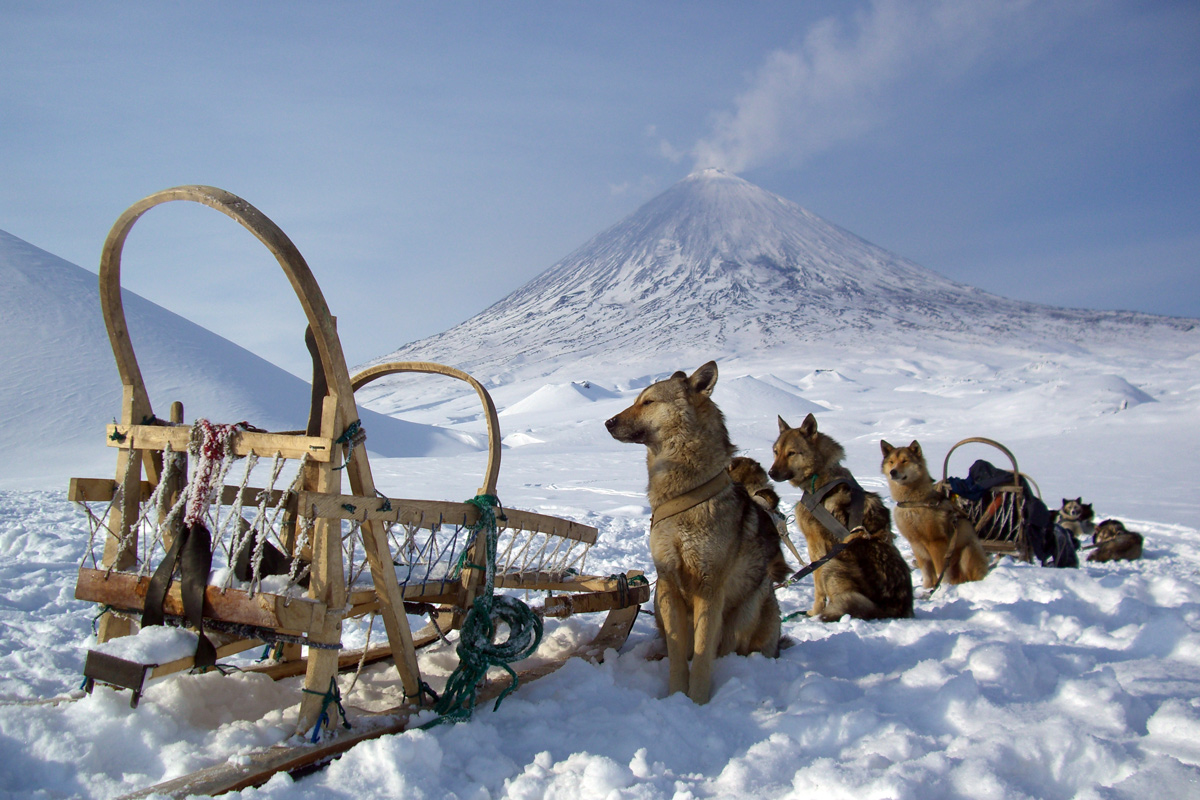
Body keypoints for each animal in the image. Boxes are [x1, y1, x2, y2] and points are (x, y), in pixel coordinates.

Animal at [604, 359, 782, 705]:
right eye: (636, 400)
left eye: (648, 402)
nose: (608, 422)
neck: (683, 496)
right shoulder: (668, 583)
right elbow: (678, 653)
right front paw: (675, 696)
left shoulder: (709, 587)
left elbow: (702, 654)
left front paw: (697, 702)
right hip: (658, 603)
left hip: (752, 604)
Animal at [768, 417, 907, 623]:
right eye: (776, 452)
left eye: (791, 453)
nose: (771, 473)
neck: (819, 475)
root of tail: (892, 610)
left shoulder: (816, 547)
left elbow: (818, 587)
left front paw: (813, 612)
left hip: (832, 563)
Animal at [883, 438, 984, 587]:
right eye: (891, 462)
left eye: (904, 460)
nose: (893, 472)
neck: (913, 502)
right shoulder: (915, 543)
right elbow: (926, 572)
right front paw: (927, 588)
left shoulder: (935, 541)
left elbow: (940, 571)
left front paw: (942, 588)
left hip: (968, 550)